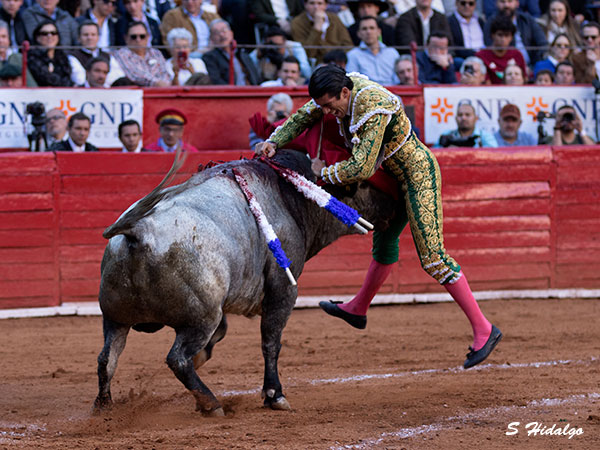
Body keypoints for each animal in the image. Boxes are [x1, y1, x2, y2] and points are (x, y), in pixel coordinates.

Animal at [94, 149, 396, 416]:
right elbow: (271, 341)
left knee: (107, 359)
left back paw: (104, 407)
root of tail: (138, 231)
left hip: (115, 317)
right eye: (366, 184)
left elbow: (224, 332)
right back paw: (211, 404)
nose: (393, 208)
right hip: (199, 320)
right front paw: (275, 395)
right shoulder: (283, 290)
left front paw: (204, 358)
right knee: (177, 359)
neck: (288, 196)